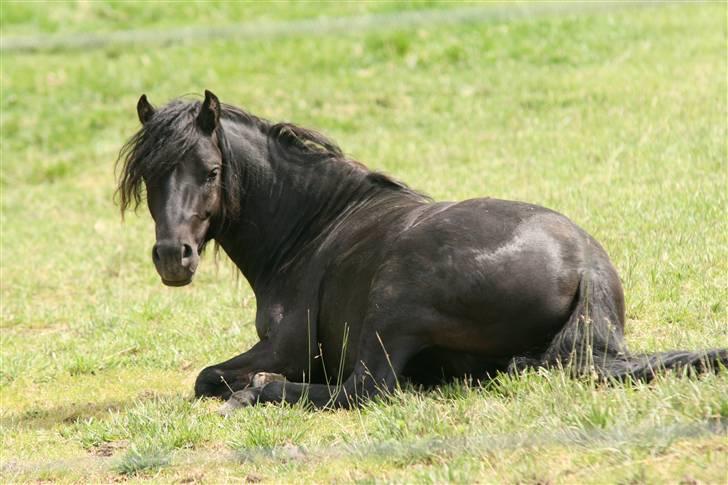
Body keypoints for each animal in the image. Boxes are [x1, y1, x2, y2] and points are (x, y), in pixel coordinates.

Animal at [116, 91, 724, 408]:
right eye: (149, 177)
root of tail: (585, 262)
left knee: (364, 390)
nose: (173, 257)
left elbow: (206, 377)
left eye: (211, 171)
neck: (313, 230)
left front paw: (246, 387)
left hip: (391, 309)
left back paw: (258, 392)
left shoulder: (287, 349)